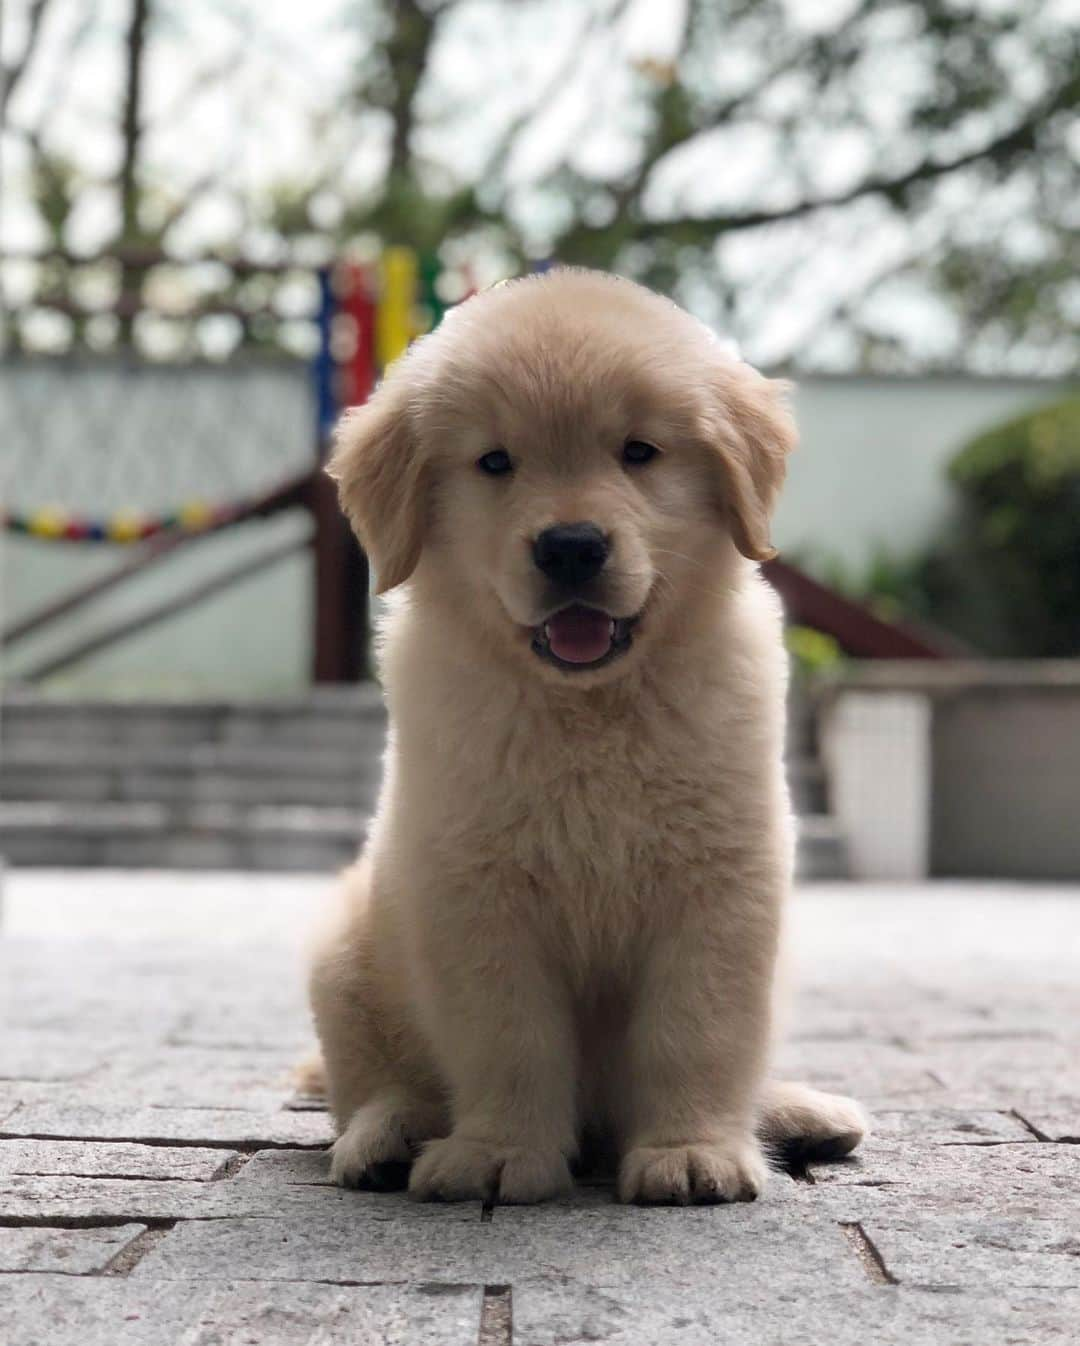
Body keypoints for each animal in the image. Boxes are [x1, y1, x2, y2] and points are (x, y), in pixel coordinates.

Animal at [307, 267, 861, 1206]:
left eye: (638, 452)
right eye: (496, 462)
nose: (571, 546)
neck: (590, 710)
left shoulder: (723, 884)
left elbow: (698, 1029)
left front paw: (692, 1150)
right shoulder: (475, 889)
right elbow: (508, 1036)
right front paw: (499, 1152)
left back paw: (796, 1114)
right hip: (343, 954)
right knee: (373, 1082)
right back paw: (388, 1137)